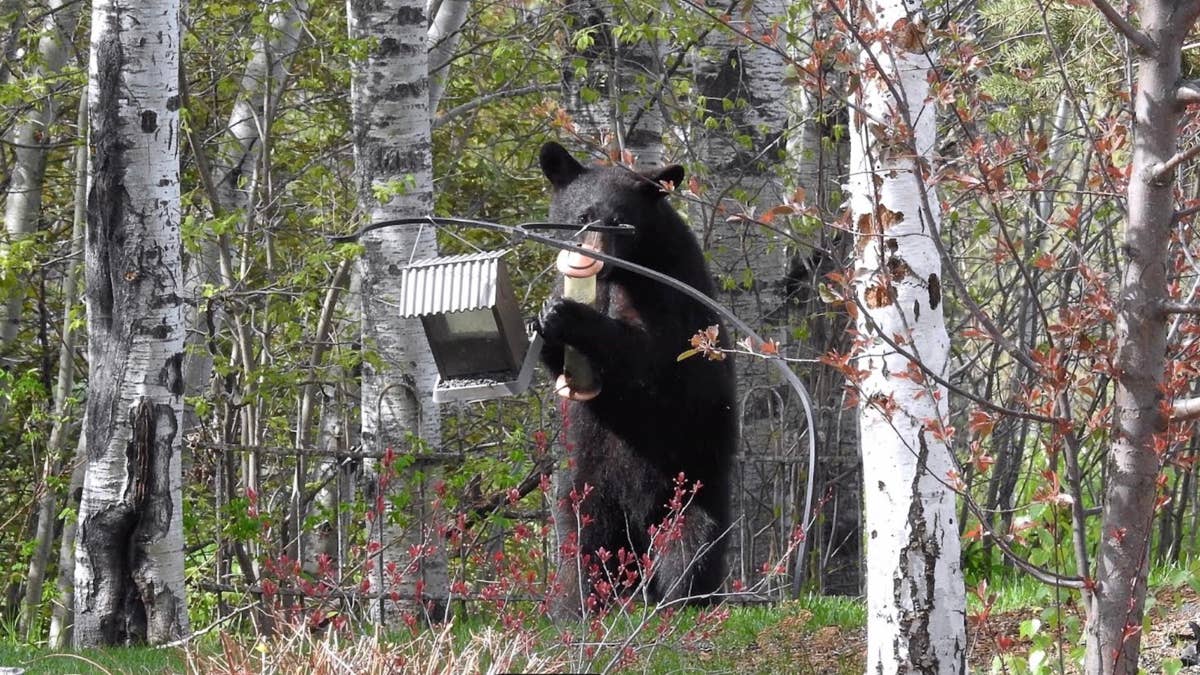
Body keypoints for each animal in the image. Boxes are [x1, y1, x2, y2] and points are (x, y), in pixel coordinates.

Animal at [535, 141, 738, 617]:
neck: (621, 275)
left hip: (692, 481)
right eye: (581, 215)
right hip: (588, 485)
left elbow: (651, 357)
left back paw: (683, 600)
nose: (592, 257)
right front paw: (547, 316)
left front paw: (572, 316)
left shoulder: (670, 290)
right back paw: (576, 607)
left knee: (691, 543)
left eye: (619, 221)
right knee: (583, 543)